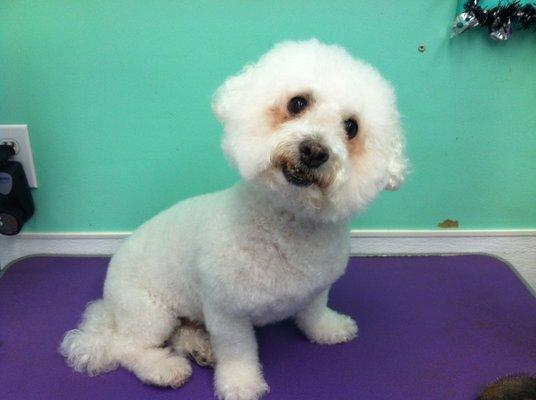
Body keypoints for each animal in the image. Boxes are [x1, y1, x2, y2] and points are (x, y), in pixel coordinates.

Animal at [59, 38, 406, 400]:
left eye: (351, 127)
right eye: (297, 103)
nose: (314, 150)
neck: (287, 226)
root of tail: (108, 307)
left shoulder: (316, 289)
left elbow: (314, 314)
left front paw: (329, 329)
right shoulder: (227, 312)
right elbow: (238, 351)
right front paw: (240, 384)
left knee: (178, 331)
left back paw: (199, 346)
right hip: (148, 312)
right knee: (126, 347)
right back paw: (163, 368)